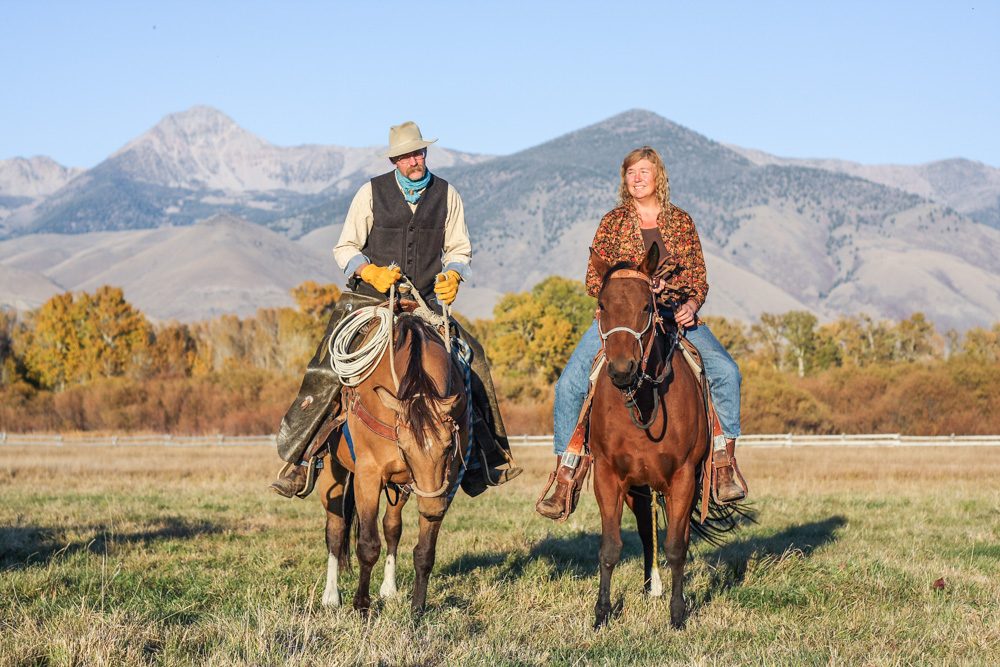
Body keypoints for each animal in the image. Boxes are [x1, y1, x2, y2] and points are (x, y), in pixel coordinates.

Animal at [312, 314, 468, 616]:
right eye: (404, 447)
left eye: (448, 446)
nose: (433, 508)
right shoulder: (368, 476)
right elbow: (367, 545)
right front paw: (361, 606)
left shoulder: (439, 481)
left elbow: (424, 551)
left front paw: (417, 608)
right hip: (333, 472)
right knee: (335, 530)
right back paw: (331, 595)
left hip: (400, 486)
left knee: (392, 527)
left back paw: (389, 589)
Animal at [584, 243, 744, 628]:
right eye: (602, 305)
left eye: (647, 305)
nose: (622, 370)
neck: (643, 401)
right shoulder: (608, 476)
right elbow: (610, 547)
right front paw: (602, 614)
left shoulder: (683, 477)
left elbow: (675, 547)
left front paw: (677, 614)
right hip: (639, 488)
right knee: (645, 531)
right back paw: (647, 586)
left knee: (677, 535)